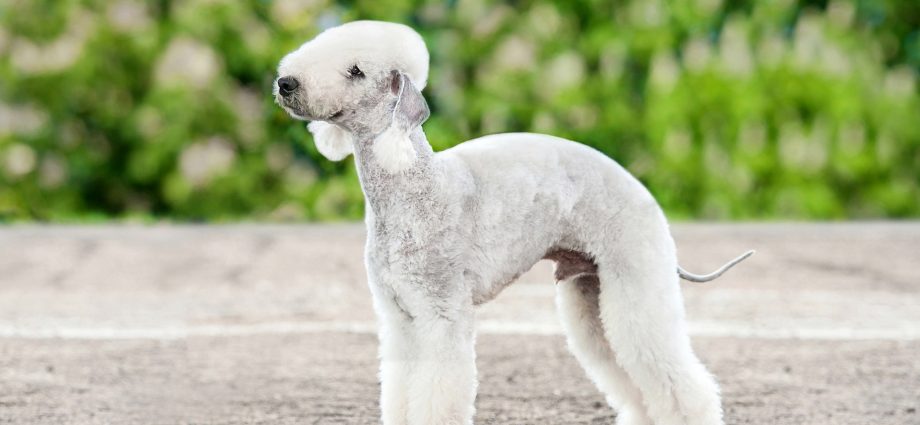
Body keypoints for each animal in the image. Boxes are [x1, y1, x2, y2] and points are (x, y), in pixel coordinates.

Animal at [276, 20, 752, 424]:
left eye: (356, 71)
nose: (285, 83)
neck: (412, 185)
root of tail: (641, 190)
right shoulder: (399, 319)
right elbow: (400, 390)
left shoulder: (441, 315)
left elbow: (438, 395)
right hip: (592, 292)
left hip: (636, 280)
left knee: (678, 379)